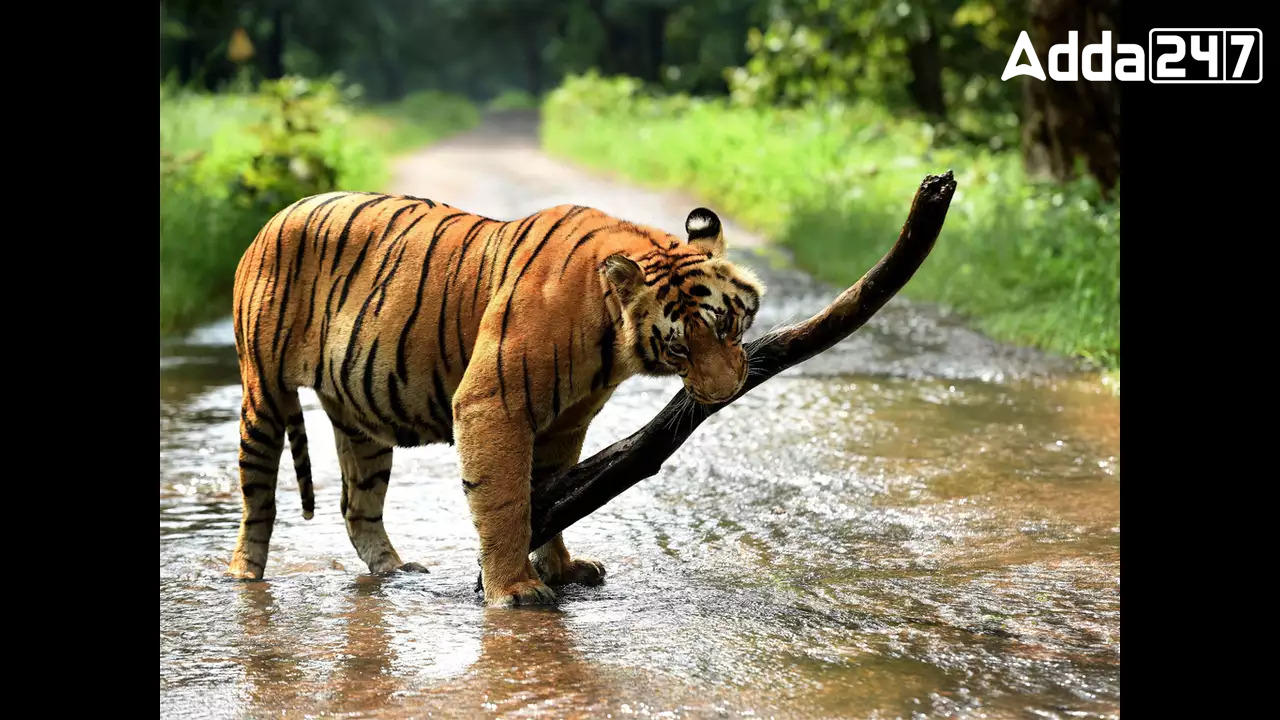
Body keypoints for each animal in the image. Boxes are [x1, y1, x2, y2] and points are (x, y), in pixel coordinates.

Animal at [229, 188, 762, 602]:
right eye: (678, 347)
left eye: (726, 325)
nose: (724, 393)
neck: (609, 336)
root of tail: (273, 218)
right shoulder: (493, 402)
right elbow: (506, 501)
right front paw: (514, 590)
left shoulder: (565, 423)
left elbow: (552, 495)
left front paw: (561, 570)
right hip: (264, 394)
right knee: (257, 498)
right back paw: (244, 575)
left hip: (361, 423)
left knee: (357, 507)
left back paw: (395, 571)